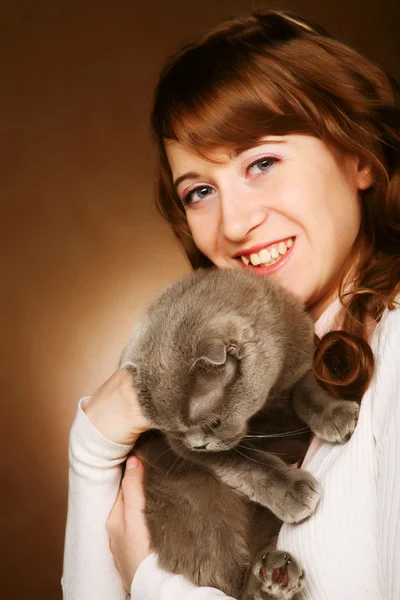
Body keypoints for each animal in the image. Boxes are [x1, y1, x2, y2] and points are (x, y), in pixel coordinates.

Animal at [120, 270, 358, 596]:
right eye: (176, 432)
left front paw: (337, 416)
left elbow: (308, 391)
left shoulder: (299, 364)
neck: (268, 398)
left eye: (212, 423)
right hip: (197, 505)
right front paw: (291, 491)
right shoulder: (182, 450)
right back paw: (271, 580)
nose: (198, 446)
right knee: (229, 580)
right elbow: (249, 462)